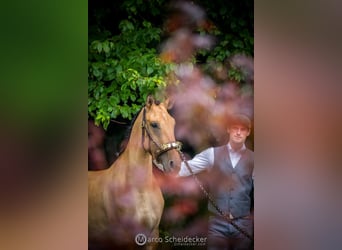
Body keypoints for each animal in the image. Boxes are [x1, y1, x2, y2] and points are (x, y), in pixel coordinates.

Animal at [89, 94, 183, 249]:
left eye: (173, 123)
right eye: (154, 124)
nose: (175, 165)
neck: (140, 190)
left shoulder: (152, 237)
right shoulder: (126, 240)